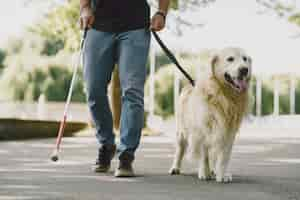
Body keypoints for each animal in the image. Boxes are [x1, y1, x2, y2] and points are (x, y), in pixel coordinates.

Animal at [170, 47, 252, 183]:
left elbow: (223, 156)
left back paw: (214, 170)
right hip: (182, 131)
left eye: (245, 59)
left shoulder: (228, 131)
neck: (224, 95)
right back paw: (175, 167)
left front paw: (222, 174)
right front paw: (204, 173)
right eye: (230, 59)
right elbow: (204, 155)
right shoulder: (203, 130)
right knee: (180, 149)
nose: (244, 70)